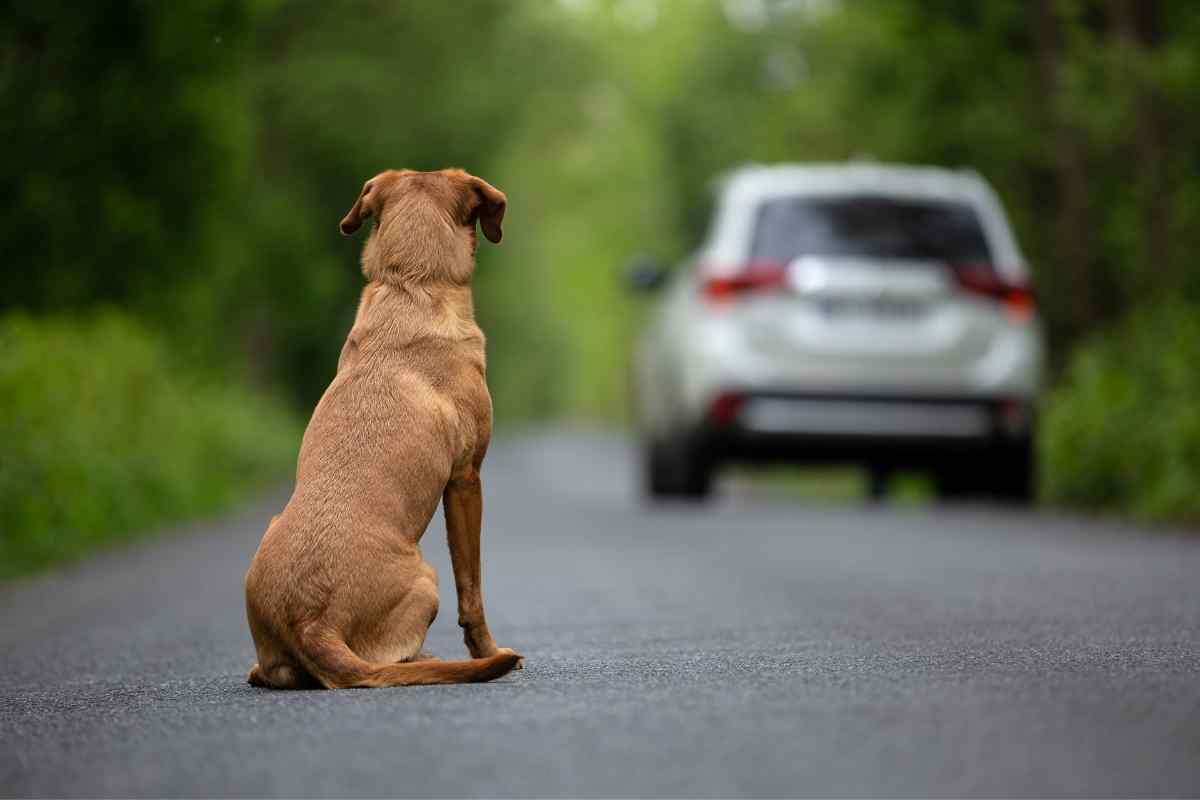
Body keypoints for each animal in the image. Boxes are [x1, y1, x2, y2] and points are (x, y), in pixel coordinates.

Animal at [243, 167, 520, 690]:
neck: (411, 283)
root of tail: (311, 623)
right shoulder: (466, 479)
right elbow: (472, 590)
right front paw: (488, 650)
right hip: (427, 578)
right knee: (395, 659)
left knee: (274, 673)